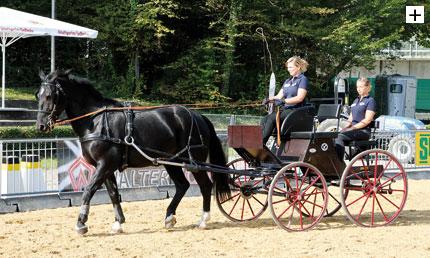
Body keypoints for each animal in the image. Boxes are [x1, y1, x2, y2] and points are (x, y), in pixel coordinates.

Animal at [36, 69, 232, 235]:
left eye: (50, 95)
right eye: (38, 95)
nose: (41, 126)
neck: (96, 121)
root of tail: (198, 116)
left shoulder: (104, 165)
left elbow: (89, 190)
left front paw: (81, 223)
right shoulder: (107, 168)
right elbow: (113, 194)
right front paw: (118, 223)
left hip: (193, 162)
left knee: (205, 186)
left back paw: (203, 220)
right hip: (172, 162)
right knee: (182, 185)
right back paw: (169, 217)